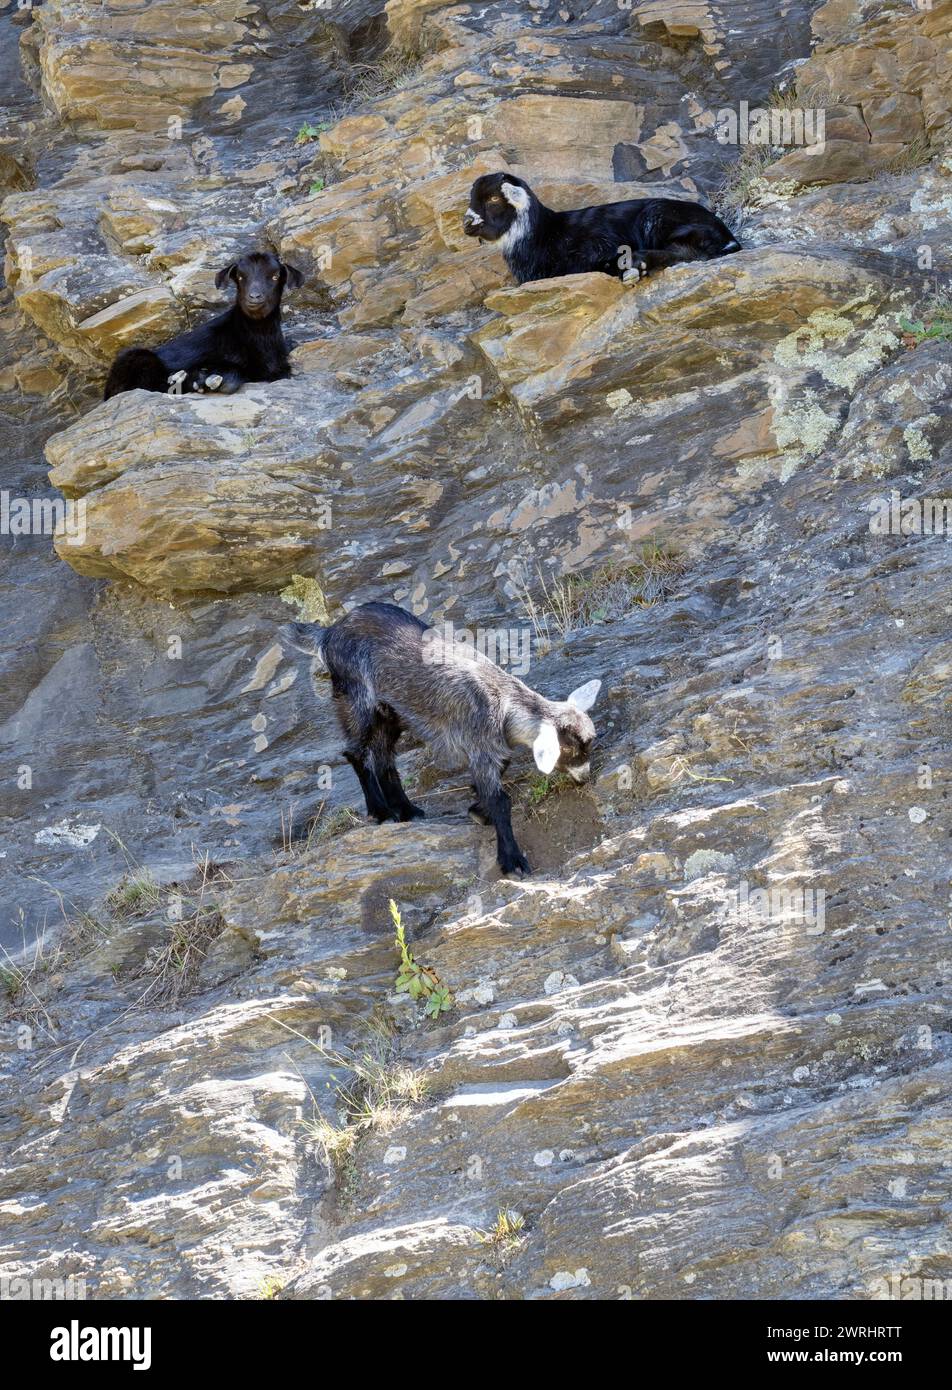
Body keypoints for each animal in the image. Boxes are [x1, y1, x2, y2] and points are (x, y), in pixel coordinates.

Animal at [277, 600, 600, 878]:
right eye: (571, 752)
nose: (585, 778)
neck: (504, 702)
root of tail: (329, 633)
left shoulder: (489, 749)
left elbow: (496, 778)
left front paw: (477, 808)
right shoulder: (480, 743)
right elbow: (501, 800)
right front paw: (511, 859)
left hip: (392, 713)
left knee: (383, 759)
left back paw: (406, 810)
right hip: (357, 700)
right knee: (356, 753)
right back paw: (381, 812)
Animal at [464, 170, 739, 284]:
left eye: (493, 198)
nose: (467, 223)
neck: (543, 233)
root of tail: (729, 239)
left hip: (657, 217)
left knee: (688, 252)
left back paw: (633, 265)